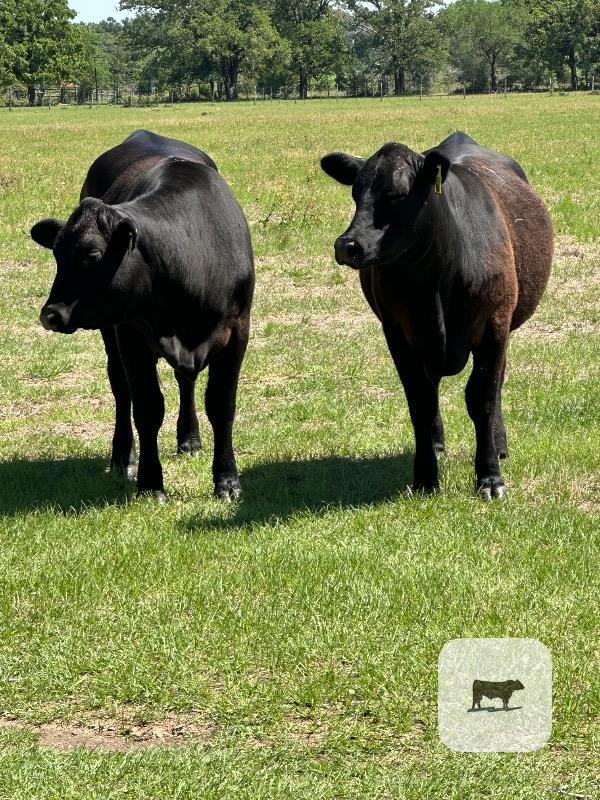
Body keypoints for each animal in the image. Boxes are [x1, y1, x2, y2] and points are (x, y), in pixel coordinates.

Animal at [30, 129, 254, 503]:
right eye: (57, 254)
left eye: (92, 255)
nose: (50, 314)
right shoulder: (131, 335)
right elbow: (147, 408)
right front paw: (150, 484)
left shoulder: (237, 331)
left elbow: (221, 406)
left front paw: (227, 481)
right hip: (111, 334)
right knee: (121, 390)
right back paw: (124, 457)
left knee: (185, 380)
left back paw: (189, 439)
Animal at [321, 131, 553, 498]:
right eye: (356, 193)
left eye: (398, 193)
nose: (348, 245)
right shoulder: (397, 332)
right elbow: (421, 401)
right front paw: (426, 475)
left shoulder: (495, 325)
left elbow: (483, 398)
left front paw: (490, 476)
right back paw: (437, 443)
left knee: (497, 384)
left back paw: (499, 444)